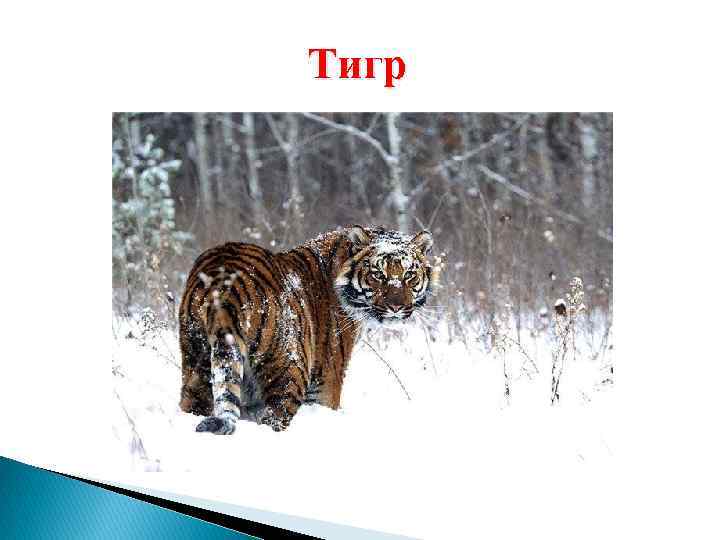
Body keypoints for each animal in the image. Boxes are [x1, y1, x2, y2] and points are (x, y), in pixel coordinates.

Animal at [178, 225, 439, 434]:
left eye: (409, 275)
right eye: (378, 274)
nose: (396, 307)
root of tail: (224, 282)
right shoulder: (325, 385)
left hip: (196, 363)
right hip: (289, 371)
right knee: (273, 418)